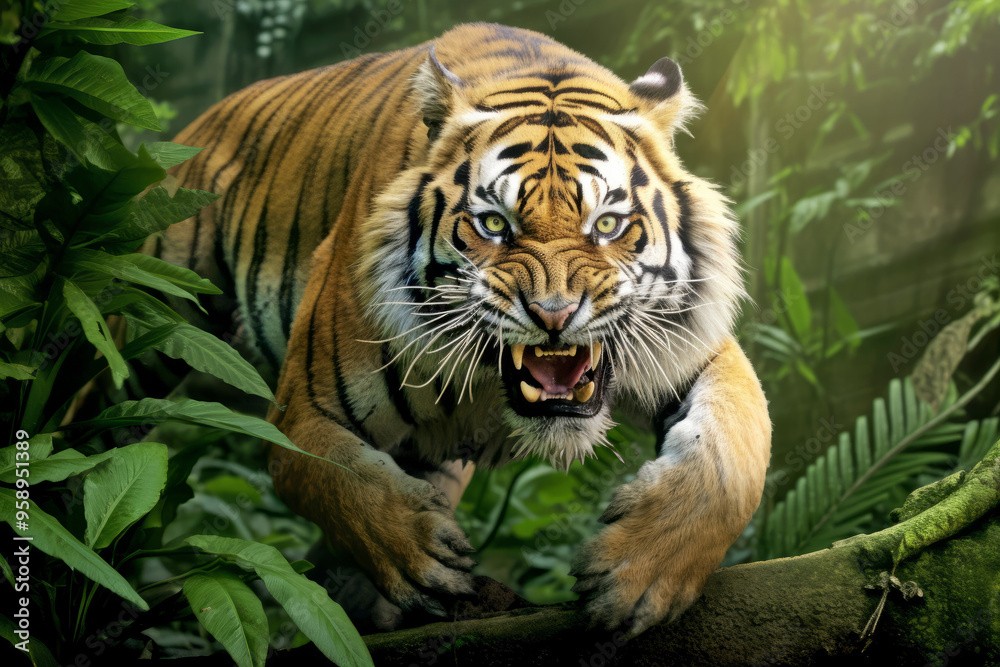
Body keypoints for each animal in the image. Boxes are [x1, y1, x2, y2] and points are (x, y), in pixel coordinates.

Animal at [152, 22, 771, 637]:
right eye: (494, 223)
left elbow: (732, 451)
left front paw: (637, 572)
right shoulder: (302, 414)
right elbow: (336, 480)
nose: (553, 314)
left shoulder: (692, 344)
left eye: (608, 224)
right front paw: (419, 556)